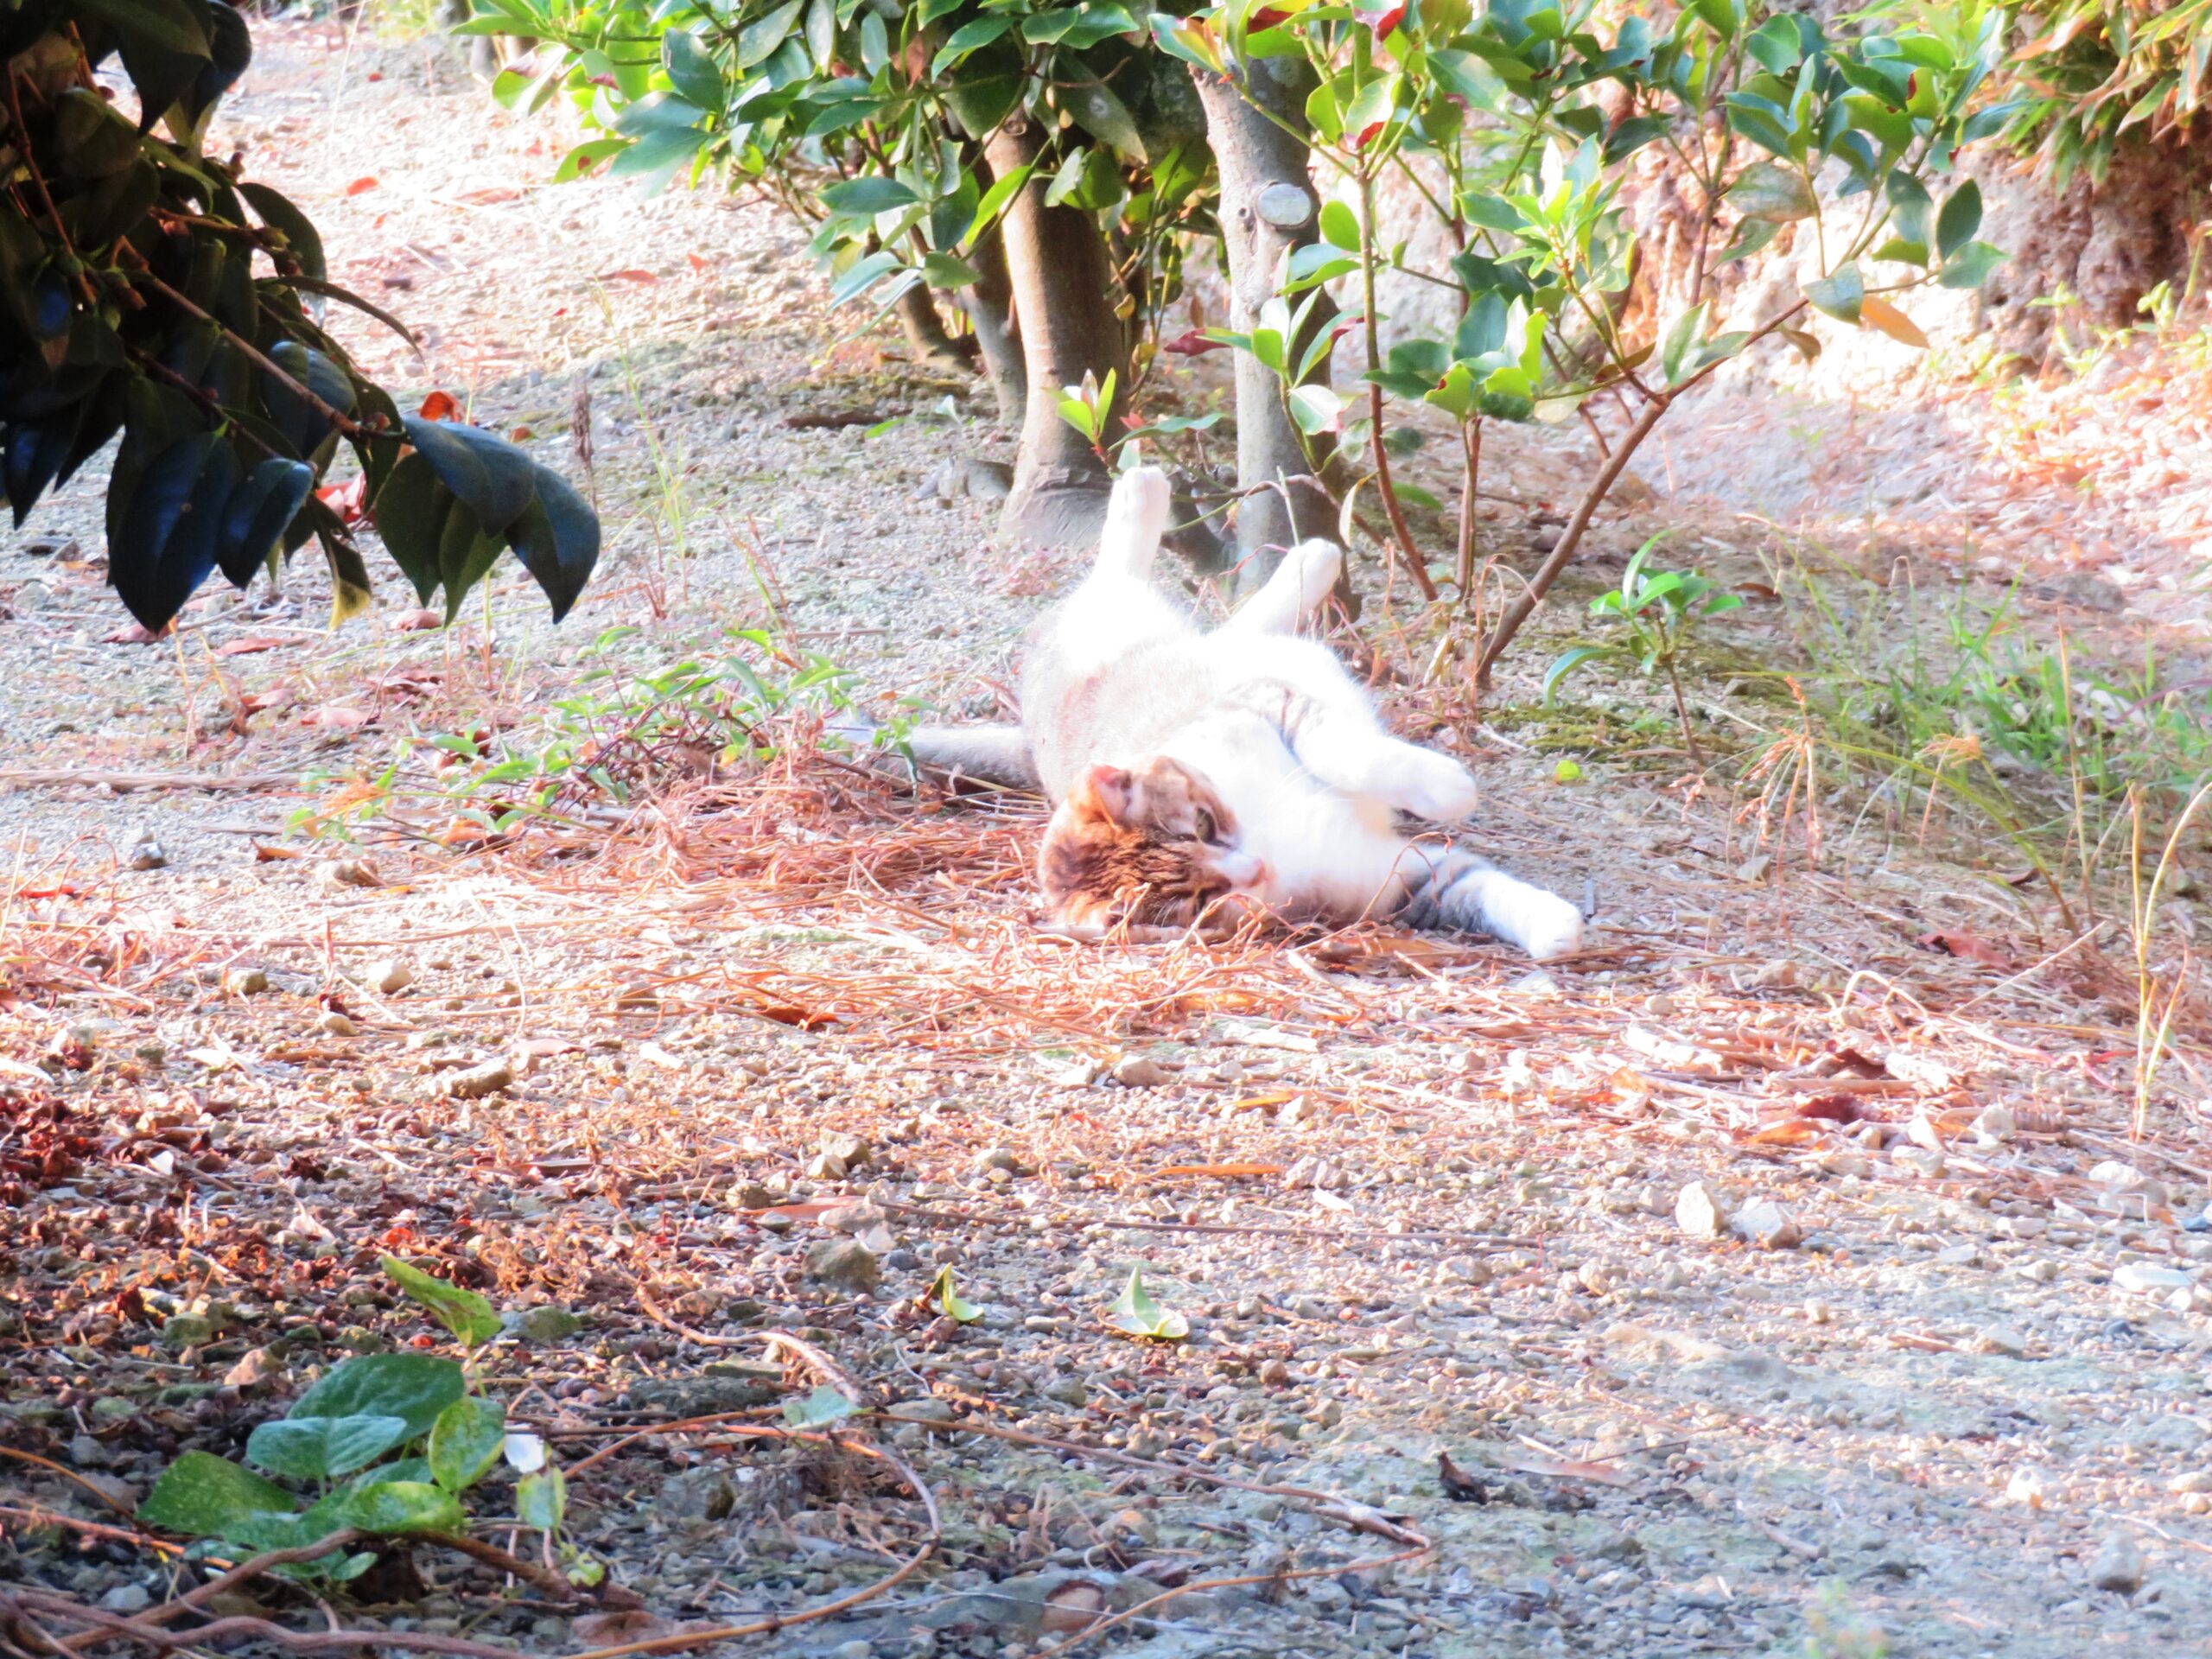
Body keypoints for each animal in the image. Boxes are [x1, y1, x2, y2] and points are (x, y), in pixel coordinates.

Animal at [902, 468, 1592, 960]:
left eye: (1204, 825)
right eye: (1198, 899)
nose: (1253, 867)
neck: (1270, 835)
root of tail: (1029, 725)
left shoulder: (1266, 705)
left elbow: (1348, 754)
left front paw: (1446, 789)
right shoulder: (1396, 883)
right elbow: (1472, 887)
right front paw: (1554, 927)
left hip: (1145, 632)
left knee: (1133, 581)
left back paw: (1176, 501)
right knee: (1234, 620)